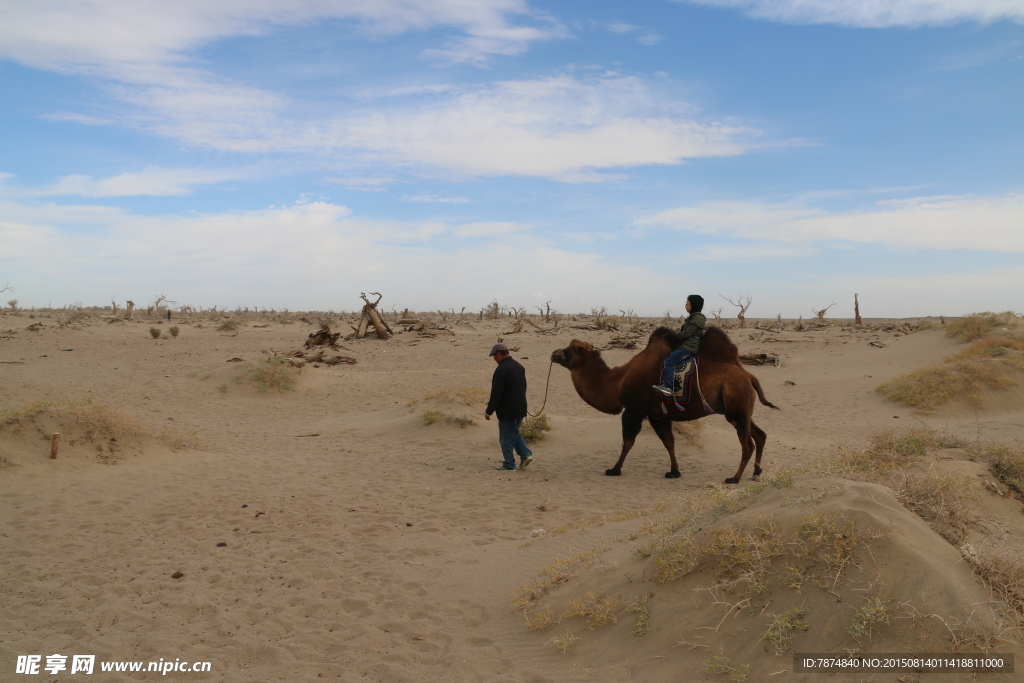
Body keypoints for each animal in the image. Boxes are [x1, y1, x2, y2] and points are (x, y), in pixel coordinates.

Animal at [552, 327, 782, 483]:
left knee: (748, 444)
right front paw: (674, 471)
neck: (617, 383)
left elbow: (627, 442)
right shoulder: (657, 416)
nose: (554, 353)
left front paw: (614, 469)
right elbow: (669, 442)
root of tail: (748, 374)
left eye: (574, 349)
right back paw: (756, 473)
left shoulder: (634, 411)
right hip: (740, 409)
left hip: (736, 406)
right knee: (760, 435)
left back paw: (734, 478)